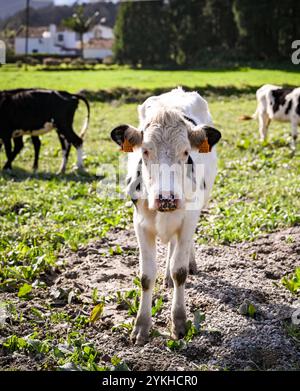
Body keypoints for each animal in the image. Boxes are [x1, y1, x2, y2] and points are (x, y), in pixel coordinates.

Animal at [110, 87, 220, 344]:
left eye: (186, 152)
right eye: (145, 151)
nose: (166, 198)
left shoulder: (189, 218)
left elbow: (180, 272)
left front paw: (178, 322)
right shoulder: (140, 224)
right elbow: (146, 276)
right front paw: (141, 326)